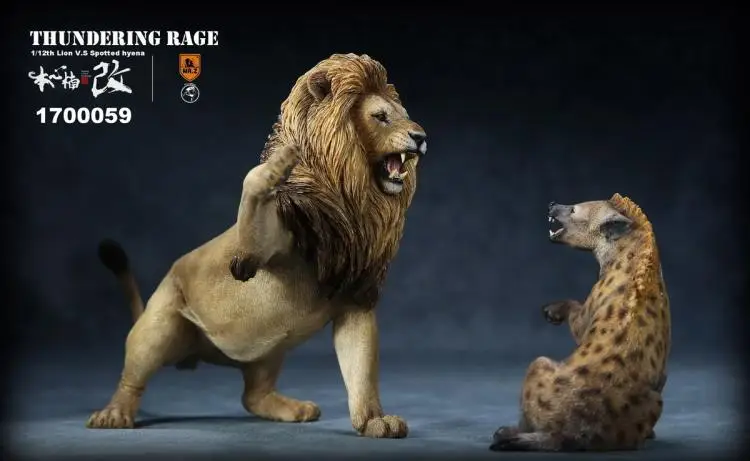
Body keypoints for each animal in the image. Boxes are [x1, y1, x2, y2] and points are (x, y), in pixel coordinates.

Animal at [86, 53, 427, 439]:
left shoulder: (355, 300)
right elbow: (252, 188)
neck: (354, 203)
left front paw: (374, 421)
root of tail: (205, 354)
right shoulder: (264, 243)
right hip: (160, 325)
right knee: (132, 377)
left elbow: (362, 372)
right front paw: (278, 164)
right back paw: (114, 414)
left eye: (401, 113)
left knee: (253, 395)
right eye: (380, 116)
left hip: (270, 349)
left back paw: (292, 408)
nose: (421, 137)